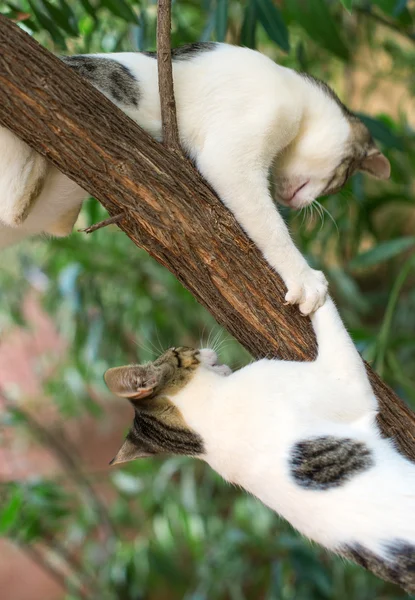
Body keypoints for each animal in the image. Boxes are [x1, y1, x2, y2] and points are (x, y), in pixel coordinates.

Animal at [0, 42, 390, 314]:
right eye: (340, 178)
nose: (304, 204)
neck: (294, 86)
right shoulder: (233, 152)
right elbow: (271, 228)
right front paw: (304, 276)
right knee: (14, 202)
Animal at [104, 298, 415, 592]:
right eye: (178, 350)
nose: (204, 350)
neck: (202, 429)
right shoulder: (343, 383)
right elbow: (329, 316)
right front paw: (307, 281)